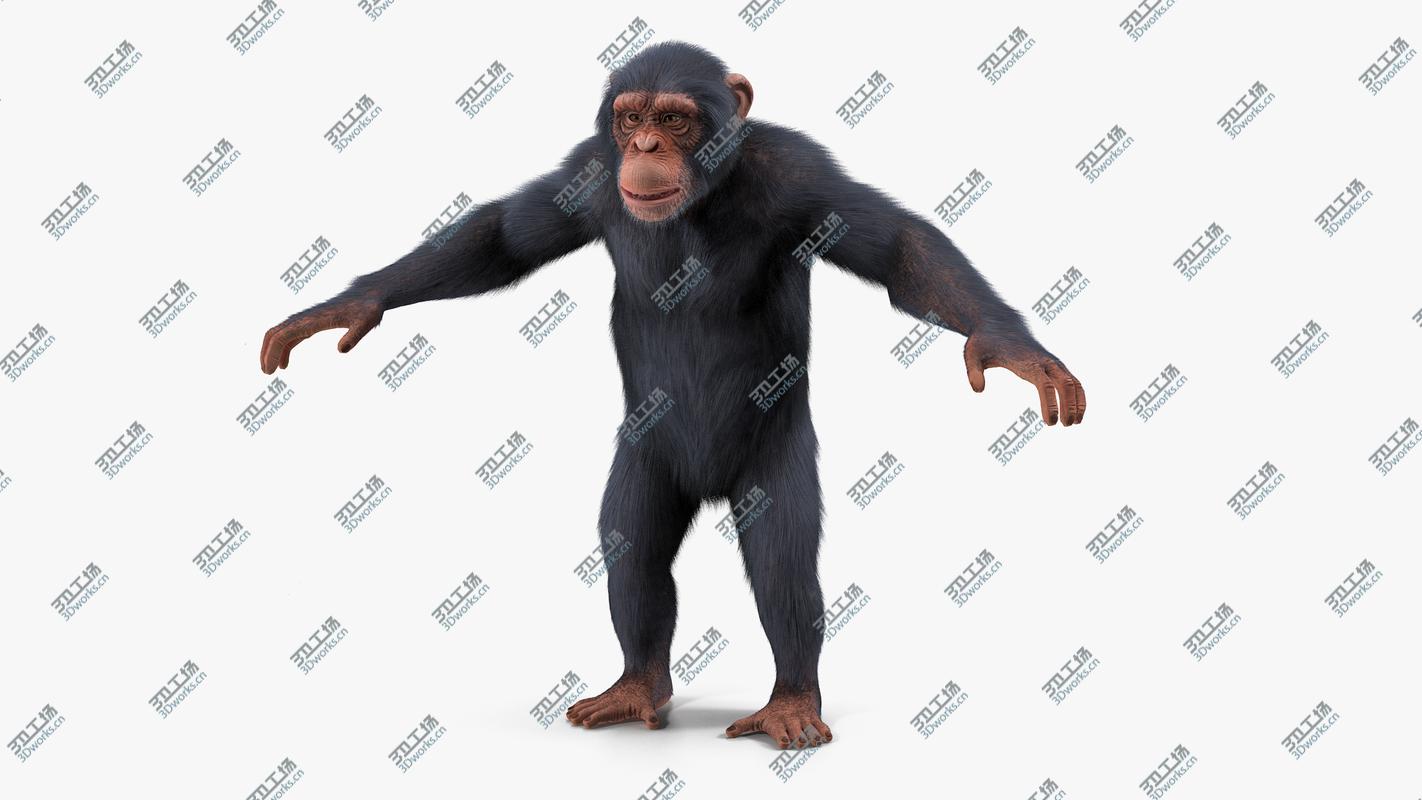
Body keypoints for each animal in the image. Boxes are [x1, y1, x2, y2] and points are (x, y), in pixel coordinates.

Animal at [258, 41, 1085, 750]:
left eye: (676, 119)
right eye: (631, 119)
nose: (649, 148)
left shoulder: (802, 175)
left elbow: (898, 246)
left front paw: (1013, 348)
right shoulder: (590, 172)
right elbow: (507, 237)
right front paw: (349, 303)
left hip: (774, 456)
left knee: (783, 560)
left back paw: (791, 701)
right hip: (648, 459)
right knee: (635, 547)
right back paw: (637, 686)